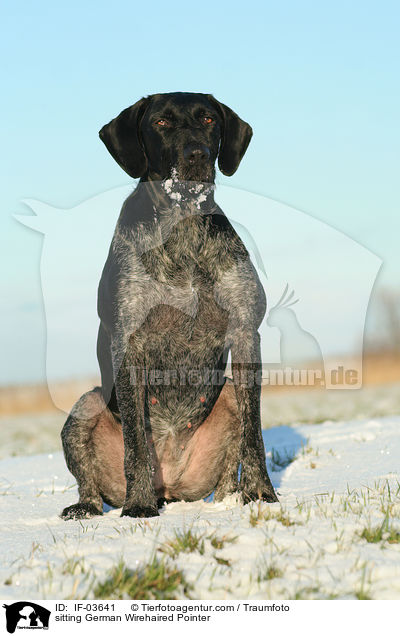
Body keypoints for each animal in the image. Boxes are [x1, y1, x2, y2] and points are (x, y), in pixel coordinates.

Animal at [60, 95, 278, 520]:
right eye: (161, 122)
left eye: (208, 119)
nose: (198, 154)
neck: (183, 227)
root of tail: (172, 486)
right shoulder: (129, 344)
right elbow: (135, 442)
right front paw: (139, 505)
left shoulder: (246, 334)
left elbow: (254, 435)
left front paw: (261, 492)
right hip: (86, 405)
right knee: (91, 485)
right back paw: (88, 506)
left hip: (227, 394)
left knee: (228, 473)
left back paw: (230, 499)